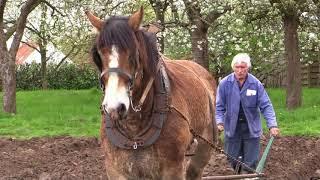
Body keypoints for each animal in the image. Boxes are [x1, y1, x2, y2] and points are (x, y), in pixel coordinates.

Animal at [86, 6, 219, 179]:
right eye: (99, 54)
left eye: (133, 53)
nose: (114, 108)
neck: (134, 128)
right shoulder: (116, 170)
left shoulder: (173, 169)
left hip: (204, 146)